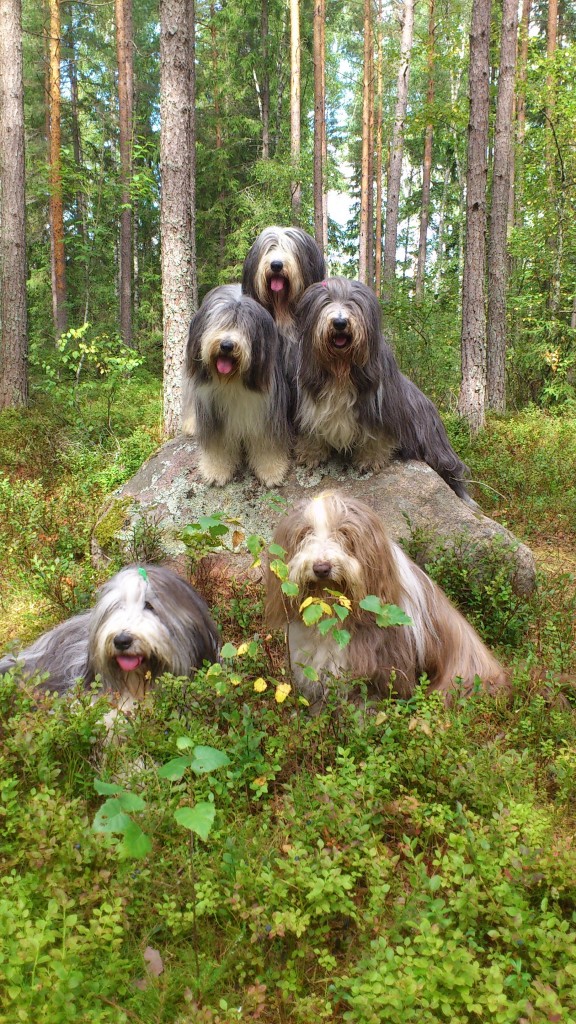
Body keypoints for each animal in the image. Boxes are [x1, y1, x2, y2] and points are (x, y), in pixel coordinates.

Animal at [182, 282, 291, 485]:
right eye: (220, 322)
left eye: (243, 327)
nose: (226, 345)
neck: (233, 381)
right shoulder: (211, 409)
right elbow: (218, 445)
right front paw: (215, 471)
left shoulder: (265, 408)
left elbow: (266, 443)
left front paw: (272, 471)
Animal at [293, 278, 469, 501]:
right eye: (326, 301)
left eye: (353, 303)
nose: (340, 323)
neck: (341, 369)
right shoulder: (311, 401)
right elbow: (312, 429)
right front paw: (311, 453)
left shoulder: (381, 407)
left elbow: (376, 436)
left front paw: (370, 459)